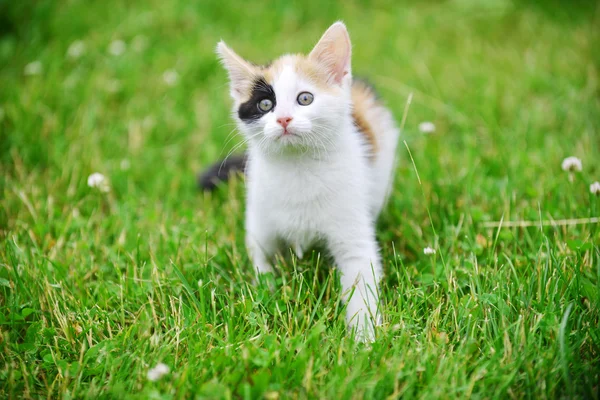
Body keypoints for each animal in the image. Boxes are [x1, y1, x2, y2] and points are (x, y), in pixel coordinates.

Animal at [204, 22, 400, 340]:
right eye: (265, 104)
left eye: (305, 98)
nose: (283, 119)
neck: (298, 167)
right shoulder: (260, 221)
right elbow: (261, 262)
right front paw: (267, 297)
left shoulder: (354, 234)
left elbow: (362, 278)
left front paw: (363, 337)